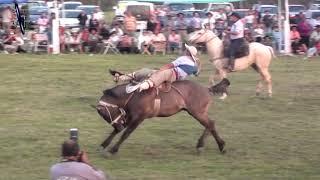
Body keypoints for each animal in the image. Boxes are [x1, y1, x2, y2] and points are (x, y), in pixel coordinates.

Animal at [95, 71, 230, 155]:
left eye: (105, 114)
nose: (119, 125)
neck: (133, 94)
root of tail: (207, 89)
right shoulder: (129, 117)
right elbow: (116, 132)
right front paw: (103, 145)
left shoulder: (138, 118)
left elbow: (126, 133)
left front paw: (113, 150)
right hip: (196, 113)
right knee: (210, 124)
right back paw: (212, 145)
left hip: (197, 112)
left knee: (210, 124)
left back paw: (213, 146)